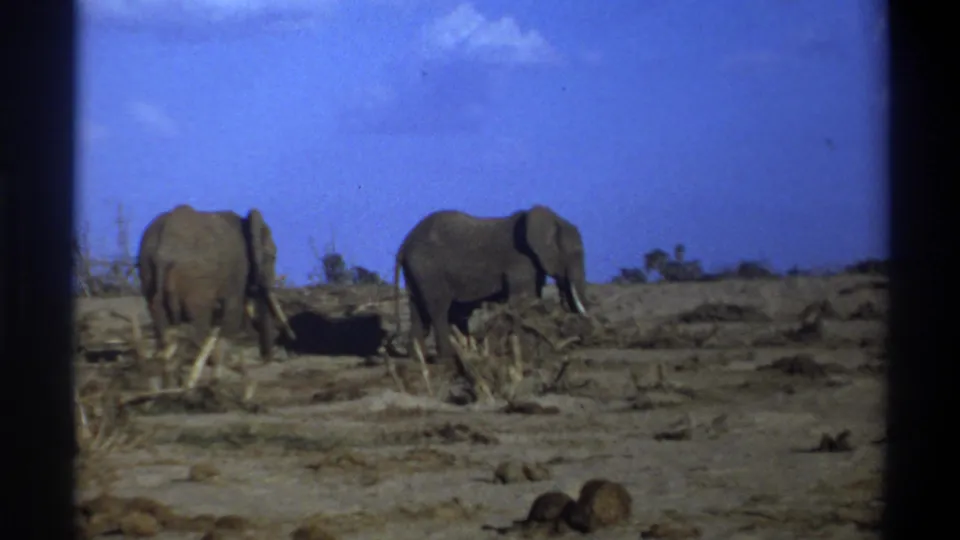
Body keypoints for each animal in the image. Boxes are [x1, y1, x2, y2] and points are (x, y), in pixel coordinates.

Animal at [136, 204, 295, 382]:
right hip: (197, 279)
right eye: (272, 256)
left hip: (147, 268)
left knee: (159, 317)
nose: (268, 358)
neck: (246, 222)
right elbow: (233, 310)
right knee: (197, 321)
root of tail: (163, 251)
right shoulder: (238, 270)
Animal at [392, 205, 589, 365]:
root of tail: (403, 245)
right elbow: (524, 300)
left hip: (416, 272)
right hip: (428, 269)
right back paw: (448, 358)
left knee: (417, 310)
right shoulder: (520, 260)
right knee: (438, 309)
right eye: (575, 253)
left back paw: (419, 359)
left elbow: (533, 299)